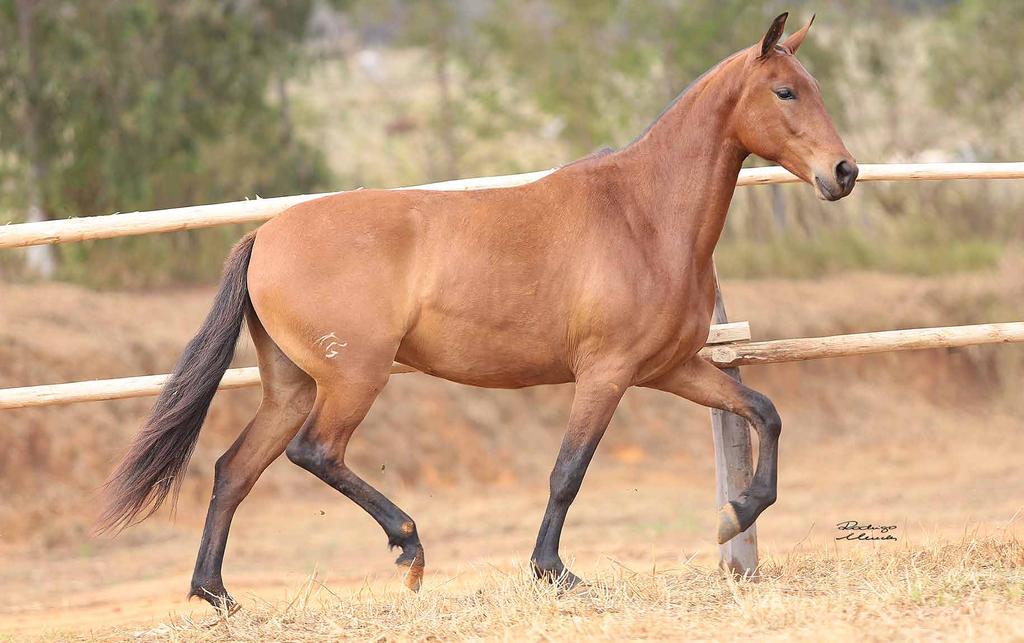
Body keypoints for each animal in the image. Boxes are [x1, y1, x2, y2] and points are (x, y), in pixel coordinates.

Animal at [101, 13, 856, 606]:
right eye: (785, 91)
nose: (843, 173)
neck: (643, 214)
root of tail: (263, 237)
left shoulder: (670, 368)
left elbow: (764, 411)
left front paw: (735, 515)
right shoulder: (606, 374)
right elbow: (567, 472)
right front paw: (553, 571)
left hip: (291, 384)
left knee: (234, 469)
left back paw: (217, 594)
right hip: (352, 379)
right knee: (314, 451)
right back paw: (409, 548)